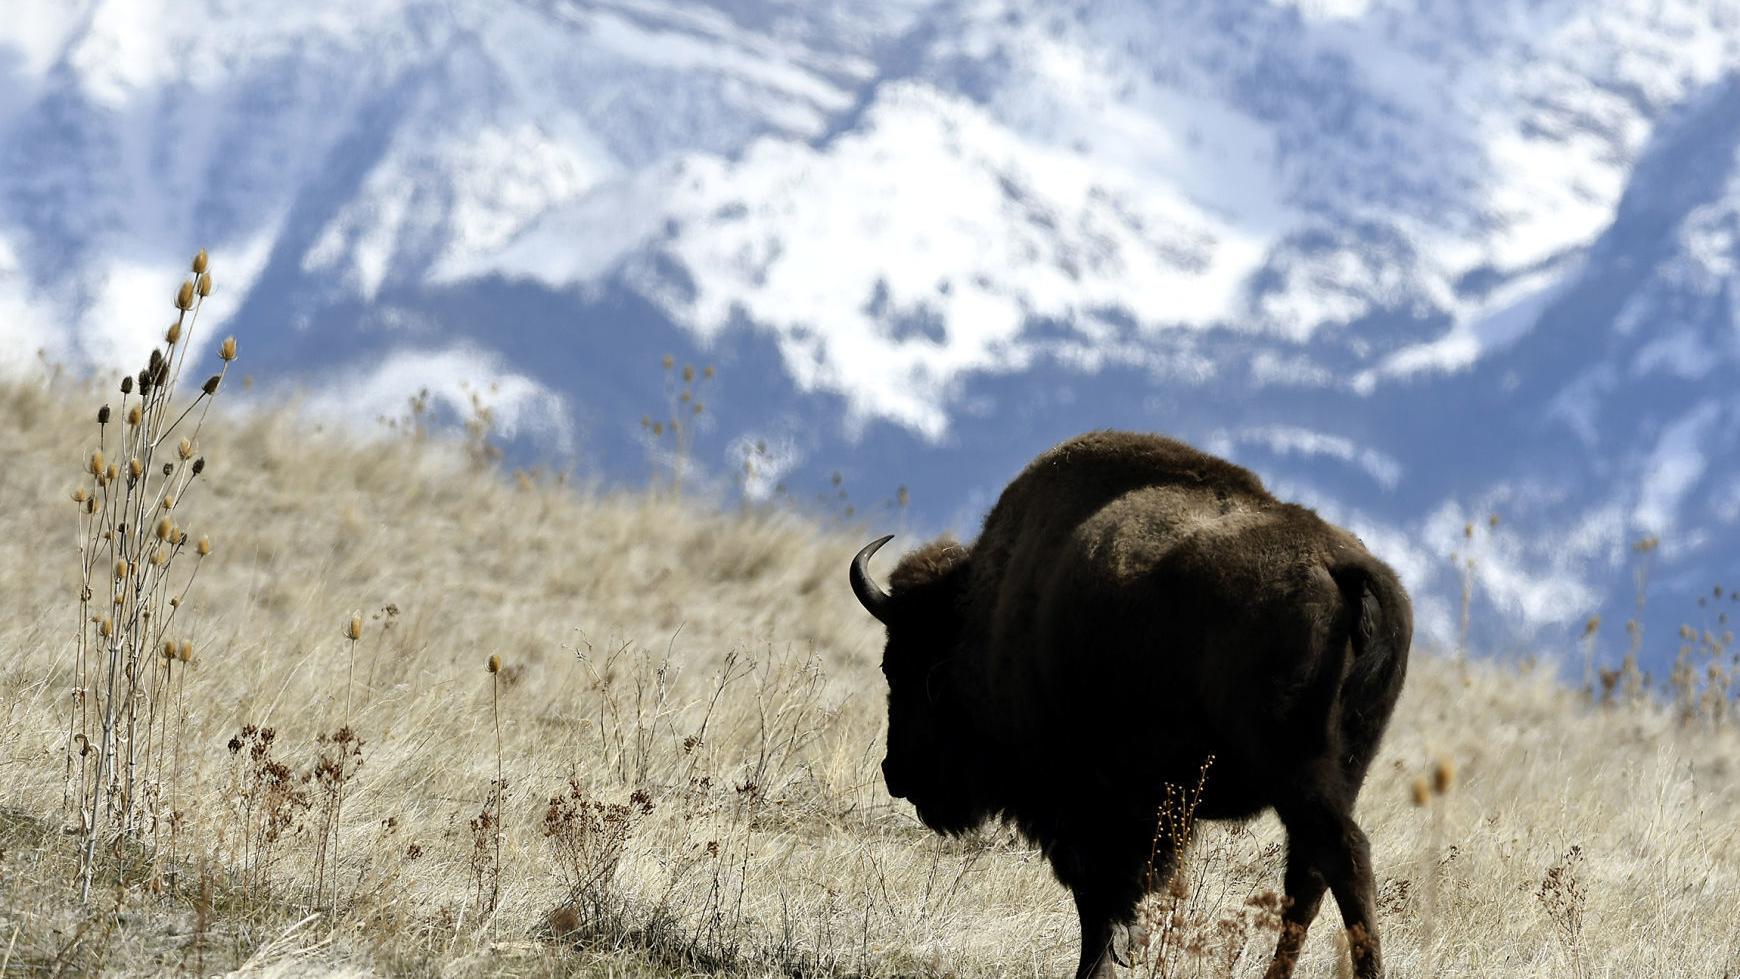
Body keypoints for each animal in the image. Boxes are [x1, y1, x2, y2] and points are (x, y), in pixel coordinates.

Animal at [849, 431, 1411, 979]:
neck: (987, 612)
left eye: (901, 668)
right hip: (1339, 773)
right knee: (1308, 880)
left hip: (1298, 775)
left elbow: (1097, 901)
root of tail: (1342, 566)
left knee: (1345, 860)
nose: (895, 773)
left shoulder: (1086, 804)